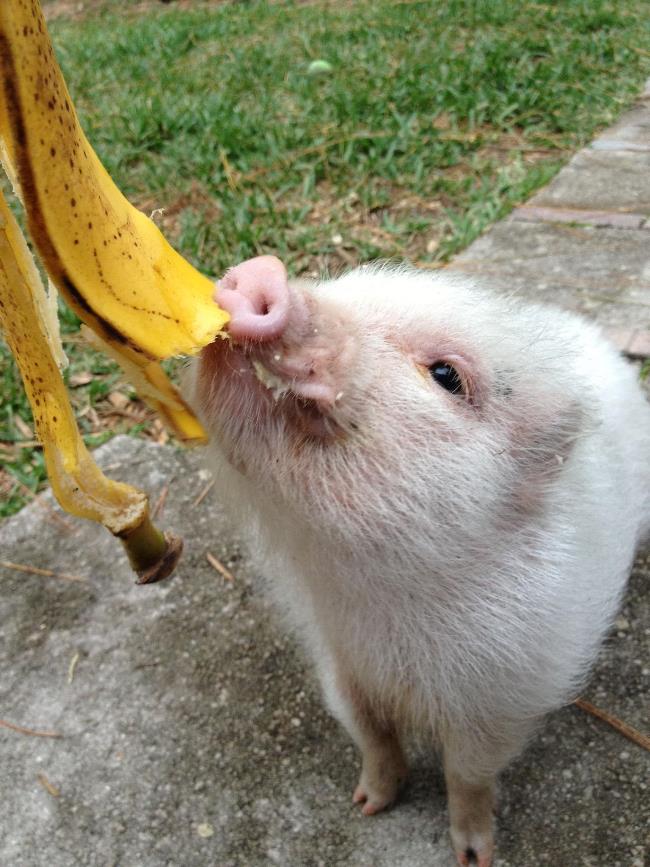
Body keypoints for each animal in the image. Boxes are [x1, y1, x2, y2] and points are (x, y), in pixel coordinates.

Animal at [189, 255, 650, 867]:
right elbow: (370, 735)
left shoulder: (507, 693)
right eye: (345, 283)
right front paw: (366, 805)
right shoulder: (337, 658)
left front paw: (474, 855)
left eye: (447, 376)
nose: (260, 272)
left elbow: (467, 775)